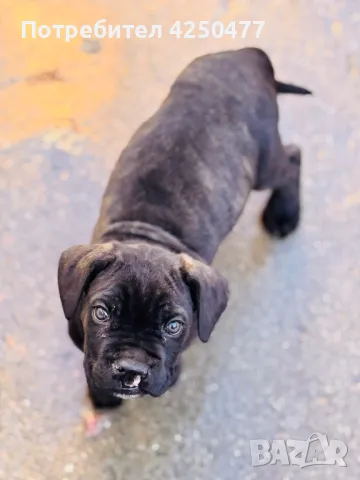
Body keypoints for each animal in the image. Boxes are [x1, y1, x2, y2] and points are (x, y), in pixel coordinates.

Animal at [57, 47, 310, 410]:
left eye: (174, 326)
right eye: (101, 313)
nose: (131, 369)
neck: (147, 235)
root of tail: (249, 54)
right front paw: (103, 396)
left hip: (264, 164)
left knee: (292, 158)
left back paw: (284, 215)